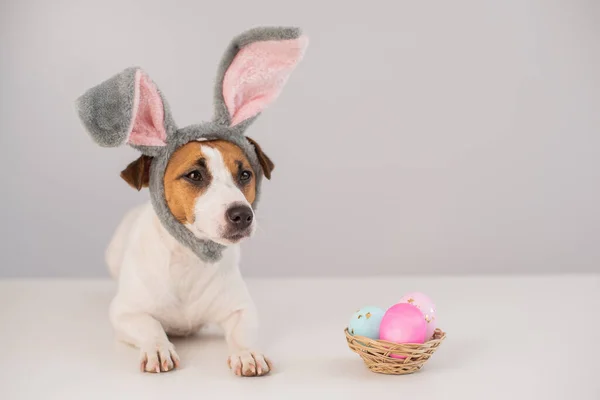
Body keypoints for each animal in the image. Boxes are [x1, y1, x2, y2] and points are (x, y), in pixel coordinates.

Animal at [74, 27, 308, 376]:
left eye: (245, 174)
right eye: (195, 175)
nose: (242, 214)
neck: (188, 260)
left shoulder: (240, 307)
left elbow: (243, 329)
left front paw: (247, 353)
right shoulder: (126, 313)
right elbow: (149, 325)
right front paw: (158, 347)